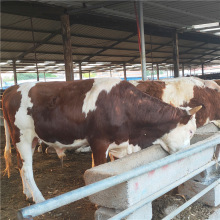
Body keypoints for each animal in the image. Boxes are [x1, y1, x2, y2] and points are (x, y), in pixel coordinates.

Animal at [2, 78, 201, 203]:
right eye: (191, 131)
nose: (191, 153)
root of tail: (12, 89)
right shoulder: (99, 142)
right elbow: (98, 169)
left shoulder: (119, 144)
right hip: (22, 136)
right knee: (27, 168)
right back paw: (39, 198)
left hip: (30, 139)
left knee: (20, 164)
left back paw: (27, 194)